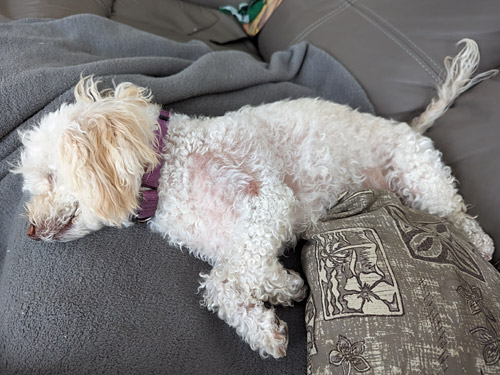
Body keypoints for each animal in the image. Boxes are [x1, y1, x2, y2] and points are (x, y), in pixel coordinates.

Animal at [14, 39, 496, 360]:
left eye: (50, 176)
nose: (31, 231)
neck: (168, 170)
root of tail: (409, 127)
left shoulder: (267, 199)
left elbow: (239, 270)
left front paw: (278, 289)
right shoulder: (228, 242)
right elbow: (222, 281)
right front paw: (275, 305)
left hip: (418, 173)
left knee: (456, 213)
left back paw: (479, 242)